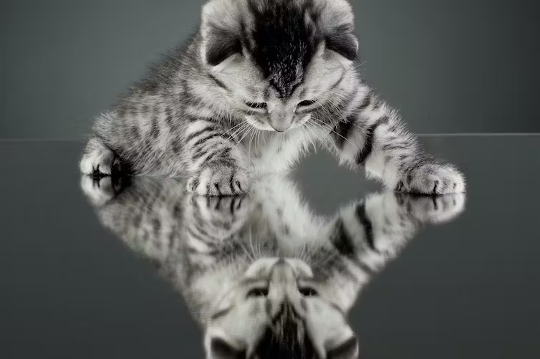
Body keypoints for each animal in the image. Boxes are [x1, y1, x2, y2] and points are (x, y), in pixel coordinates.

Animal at [79, 0, 464, 197]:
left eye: (305, 104)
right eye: (256, 105)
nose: (281, 129)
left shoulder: (347, 102)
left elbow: (383, 138)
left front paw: (422, 170)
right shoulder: (199, 107)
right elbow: (211, 141)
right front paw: (221, 172)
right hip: (136, 125)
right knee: (109, 128)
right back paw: (101, 154)